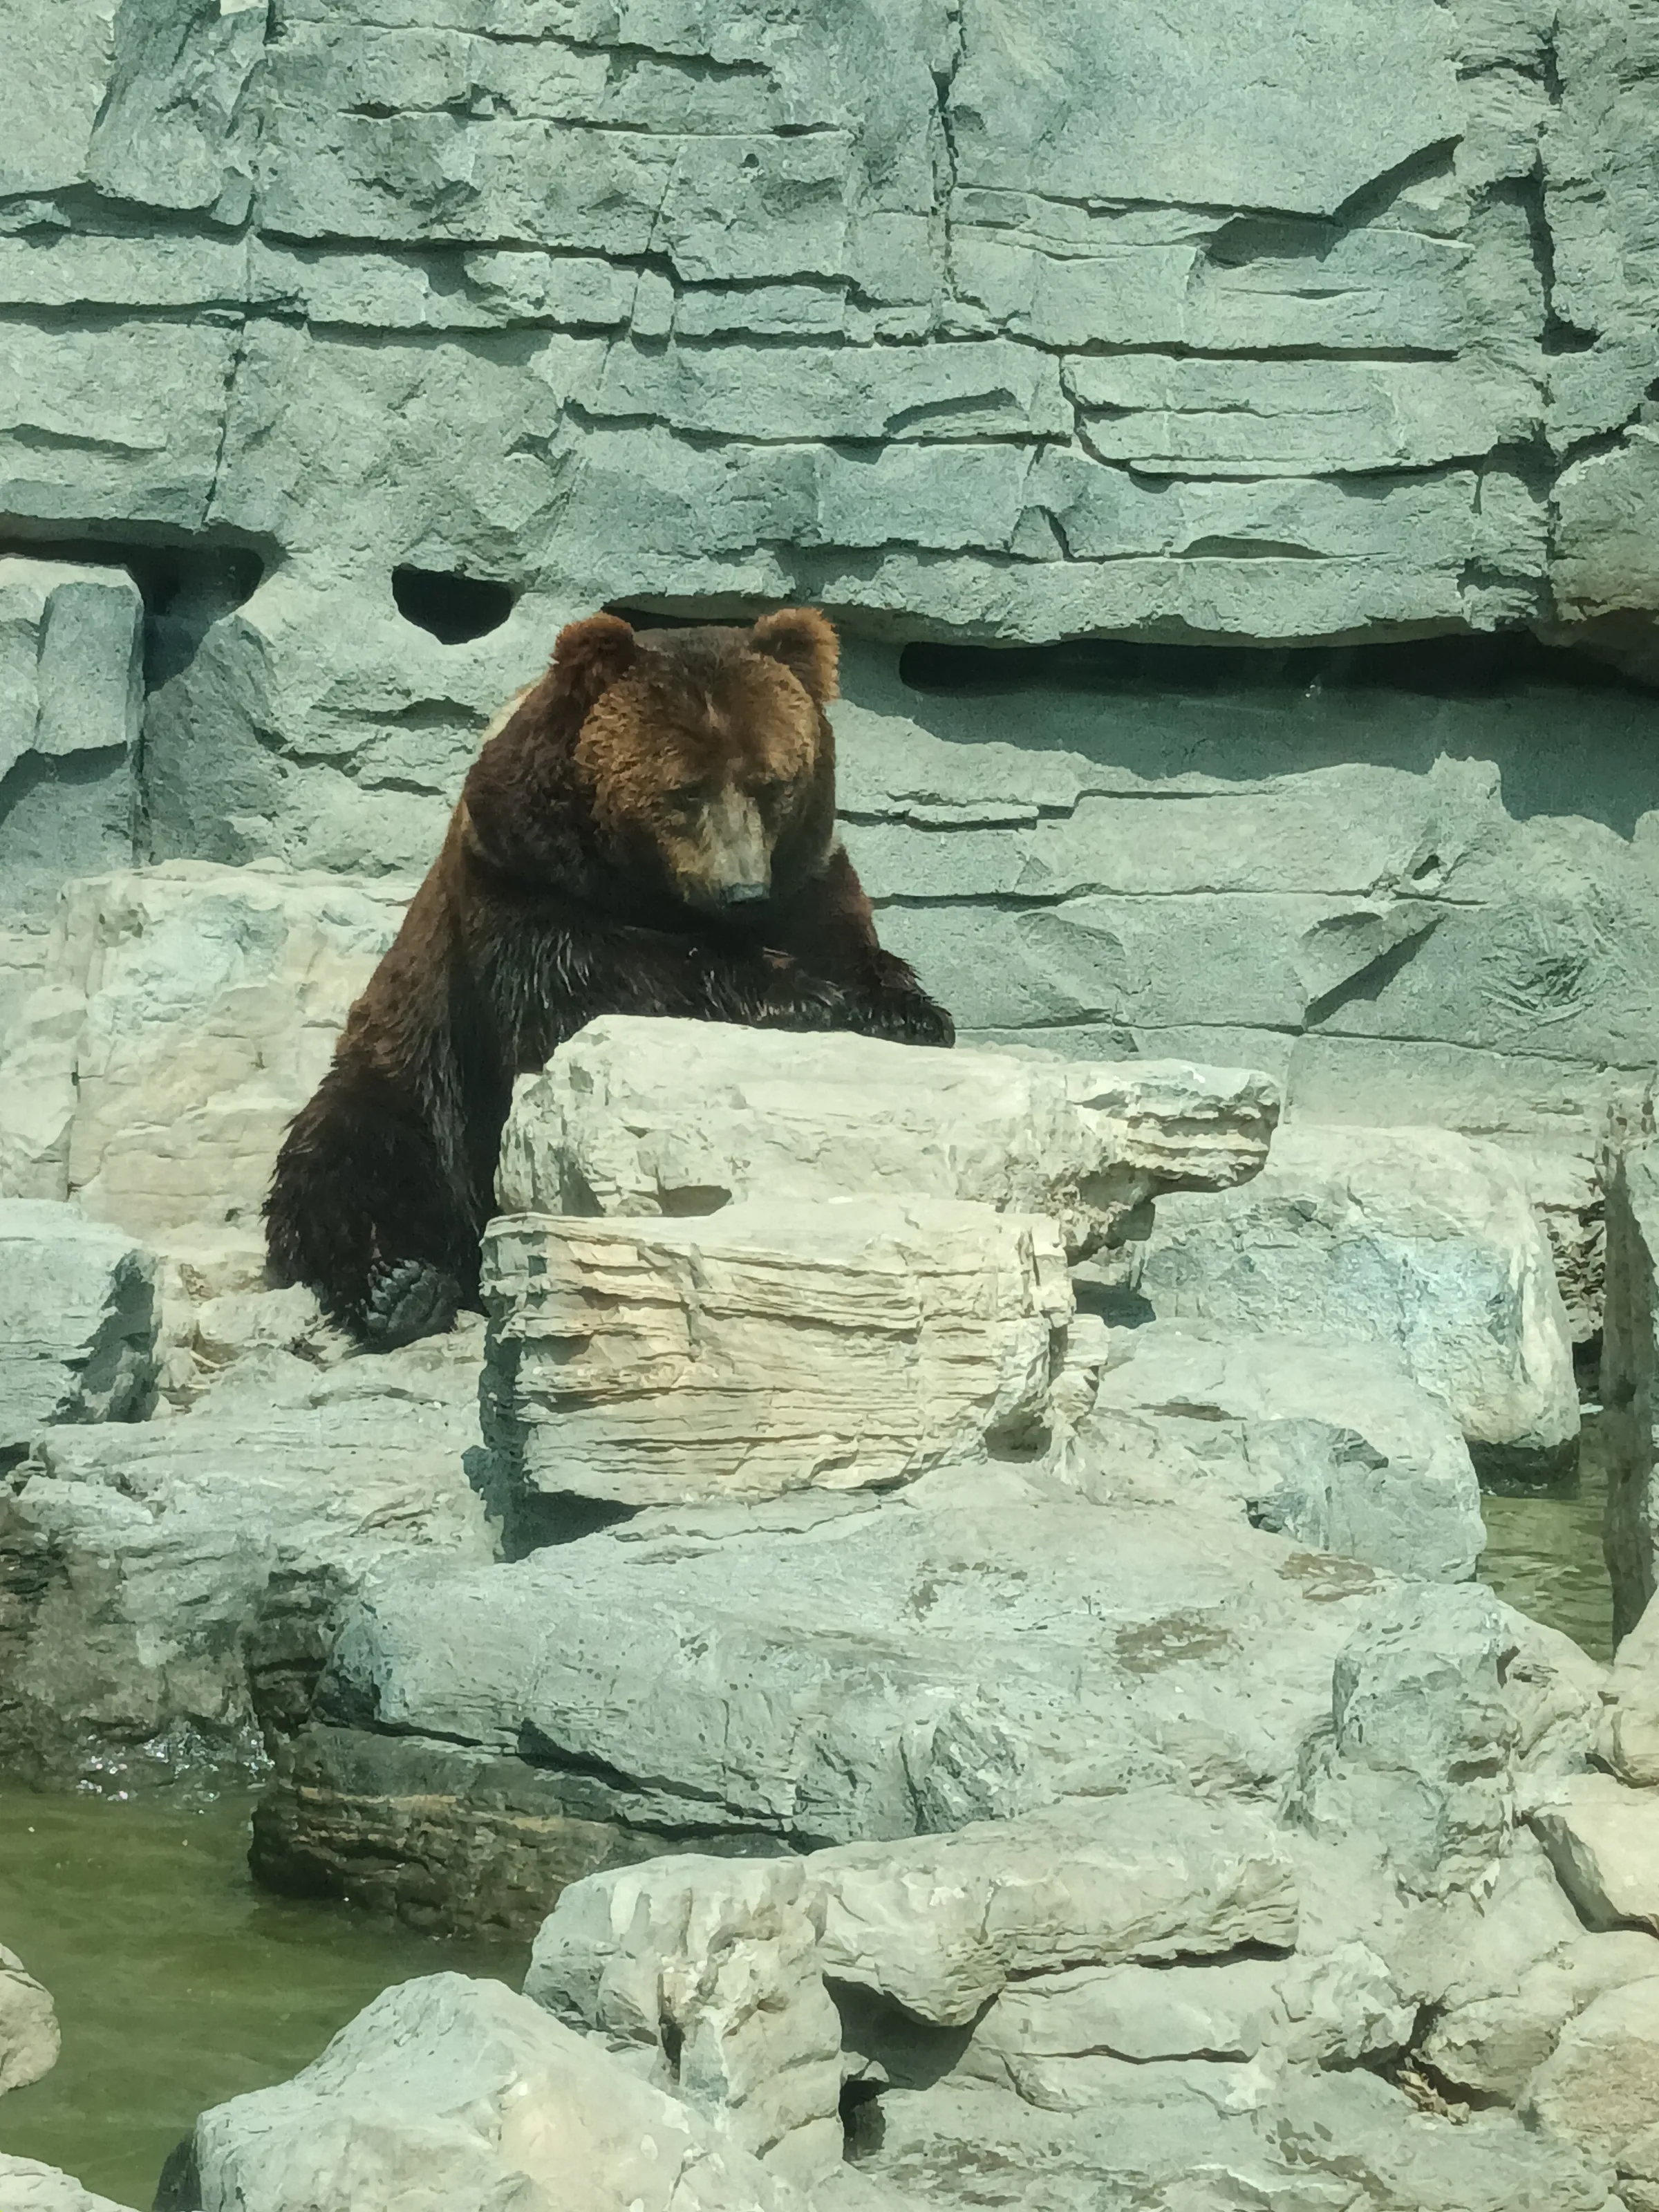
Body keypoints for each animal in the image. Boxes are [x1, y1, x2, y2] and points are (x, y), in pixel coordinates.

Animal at [264, 605, 954, 1349]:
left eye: (772, 783)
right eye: (685, 789)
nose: (742, 890)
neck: (652, 892)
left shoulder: (809, 881)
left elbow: (851, 945)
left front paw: (908, 1010)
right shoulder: (524, 886)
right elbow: (595, 987)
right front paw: (805, 996)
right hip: (412, 1076)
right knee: (352, 1155)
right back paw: (399, 1285)